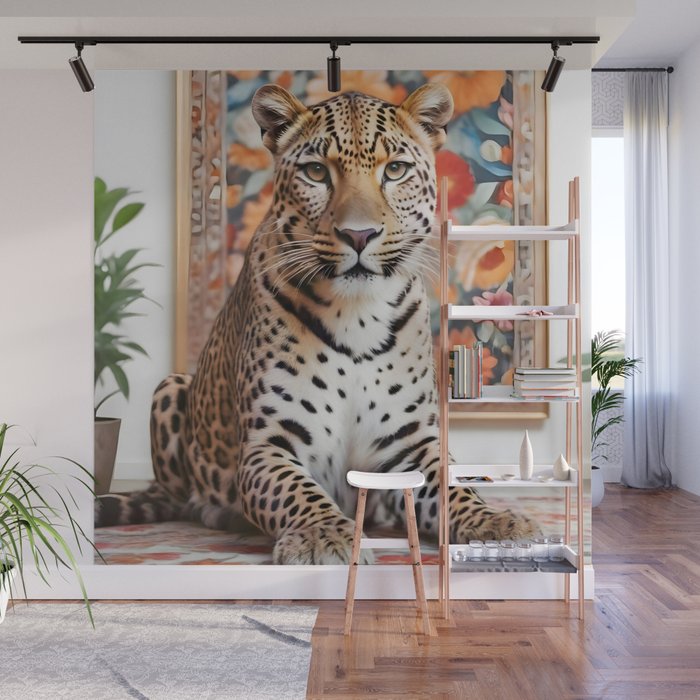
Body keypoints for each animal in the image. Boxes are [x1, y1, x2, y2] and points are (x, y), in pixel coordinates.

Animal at [96, 82, 538, 563]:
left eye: (395, 170)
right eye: (315, 172)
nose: (359, 235)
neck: (359, 313)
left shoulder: (414, 442)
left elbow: (455, 487)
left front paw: (498, 523)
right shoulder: (267, 444)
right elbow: (296, 492)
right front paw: (324, 535)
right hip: (170, 388)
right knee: (182, 496)